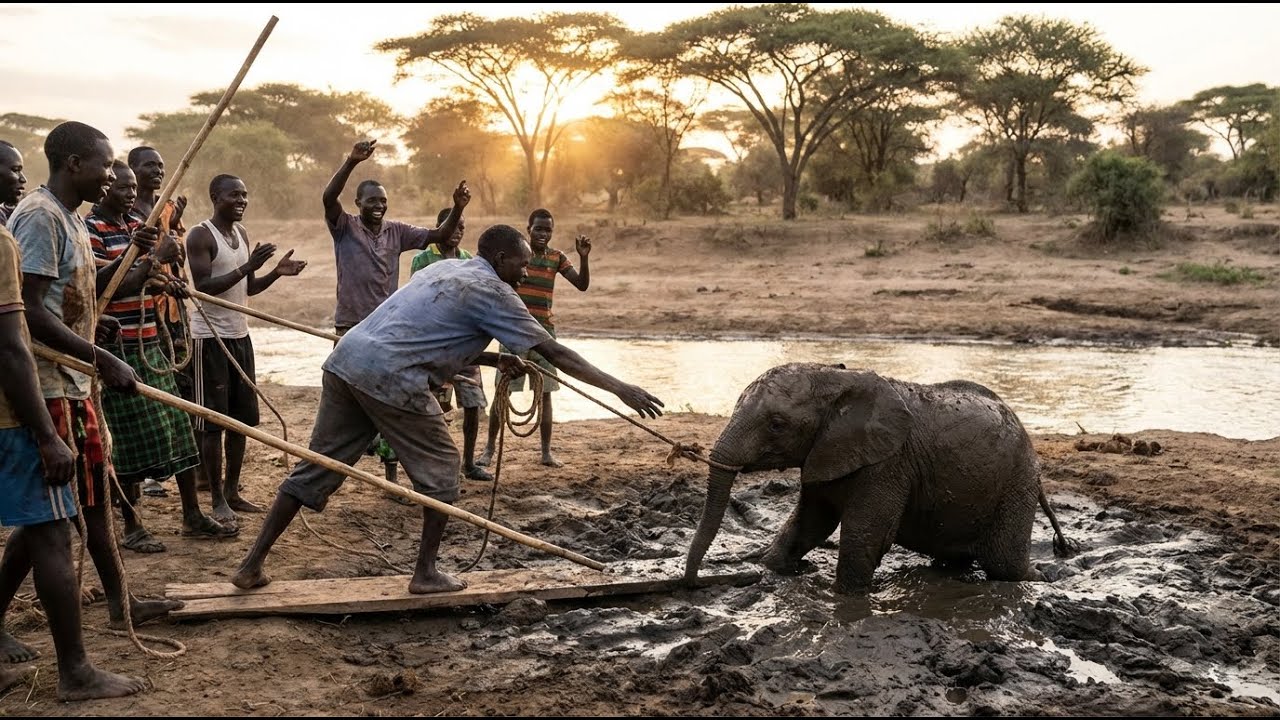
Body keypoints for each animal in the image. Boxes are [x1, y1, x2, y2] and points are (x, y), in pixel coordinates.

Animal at [684, 363, 1073, 594]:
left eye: (777, 425)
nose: (695, 584)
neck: (836, 377)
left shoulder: (889, 463)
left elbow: (864, 533)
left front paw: (846, 599)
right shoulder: (826, 450)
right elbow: (810, 523)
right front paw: (772, 569)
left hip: (1017, 481)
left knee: (1005, 565)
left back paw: (1044, 578)